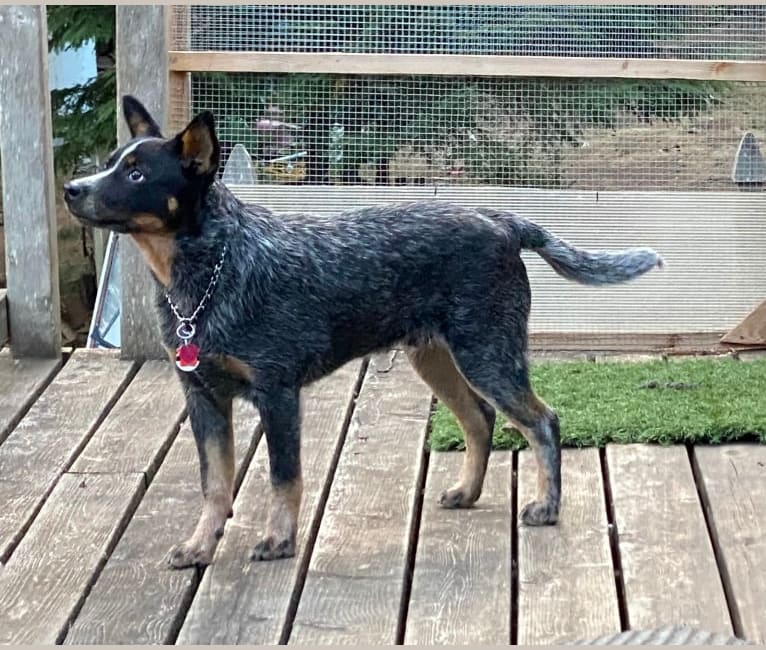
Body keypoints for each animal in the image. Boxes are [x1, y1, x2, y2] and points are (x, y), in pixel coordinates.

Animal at [64, 96, 664, 568]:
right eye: (113, 163)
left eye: (137, 173)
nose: (72, 187)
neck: (209, 272)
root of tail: (502, 221)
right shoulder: (202, 396)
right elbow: (215, 484)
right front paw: (199, 546)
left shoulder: (277, 394)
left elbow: (283, 477)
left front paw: (279, 540)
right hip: (437, 358)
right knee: (480, 419)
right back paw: (467, 492)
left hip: (489, 355)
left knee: (542, 421)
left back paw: (547, 507)